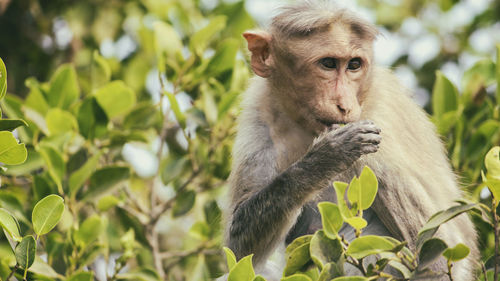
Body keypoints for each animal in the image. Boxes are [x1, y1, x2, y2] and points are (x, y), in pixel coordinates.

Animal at [225, 1, 478, 278]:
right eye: (328, 63)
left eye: (354, 65)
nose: (345, 105)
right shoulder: (259, 112)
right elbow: (238, 247)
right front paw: (327, 157)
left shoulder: (376, 124)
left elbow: (438, 258)